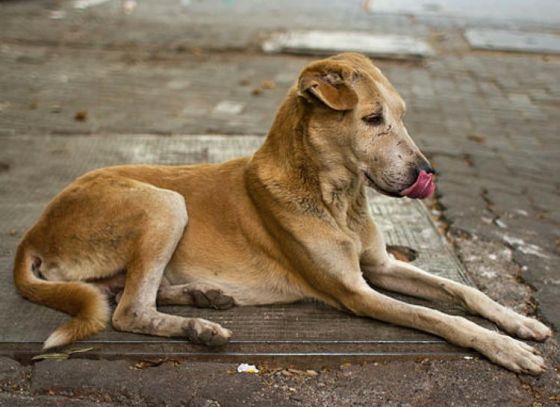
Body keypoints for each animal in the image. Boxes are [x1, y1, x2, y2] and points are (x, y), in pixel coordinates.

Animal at [13, 53, 552, 376]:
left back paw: (203, 298)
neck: (338, 199)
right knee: (128, 311)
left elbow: (463, 291)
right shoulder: (355, 292)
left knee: (126, 292)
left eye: (401, 116)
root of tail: (34, 231)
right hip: (163, 202)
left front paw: (518, 323)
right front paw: (504, 348)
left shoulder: (380, 266)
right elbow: (439, 316)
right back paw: (198, 328)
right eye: (373, 119)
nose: (428, 172)